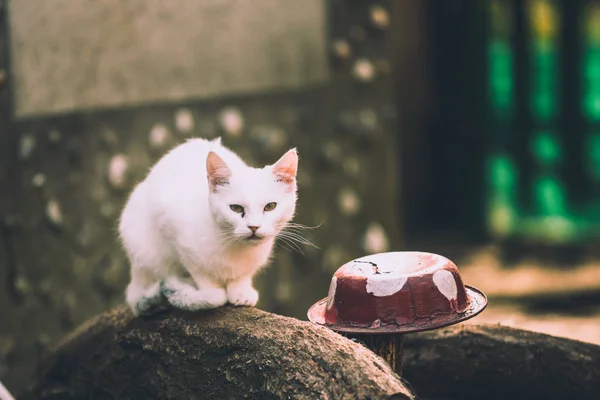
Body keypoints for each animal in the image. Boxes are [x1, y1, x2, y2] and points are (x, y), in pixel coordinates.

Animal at [120, 138, 300, 316]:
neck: (235, 247)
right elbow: (202, 273)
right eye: (236, 208)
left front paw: (240, 291)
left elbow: (243, 274)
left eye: (270, 206)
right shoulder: (175, 233)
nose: (254, 227)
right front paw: (211, 293)